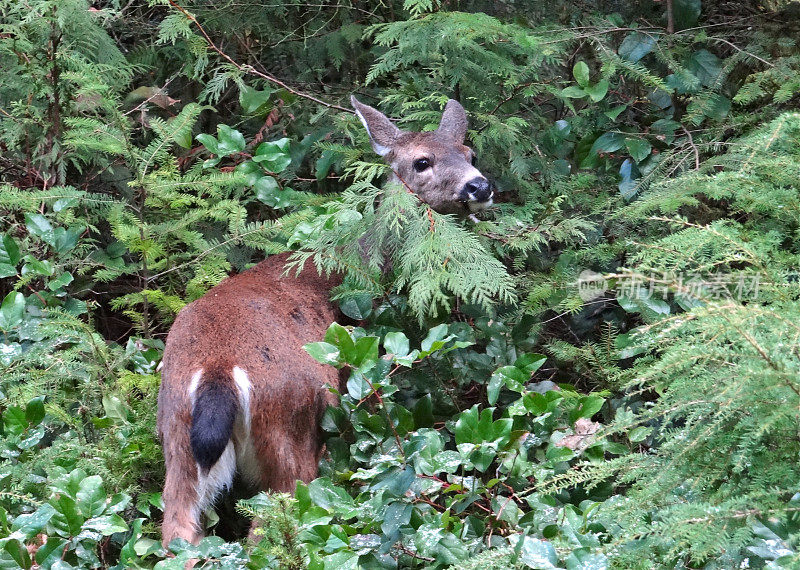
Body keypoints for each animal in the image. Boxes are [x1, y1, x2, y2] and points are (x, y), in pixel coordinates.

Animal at [156, 94, 494, 544]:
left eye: (469, 153)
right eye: (422, 161)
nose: (480, 186)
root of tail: (218, 370)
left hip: (177, 433)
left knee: (177, 528)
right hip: (291, 425)